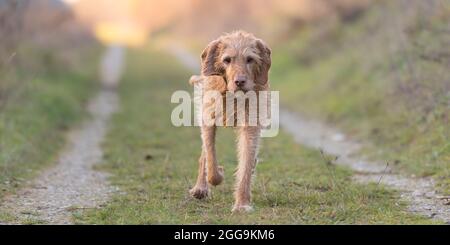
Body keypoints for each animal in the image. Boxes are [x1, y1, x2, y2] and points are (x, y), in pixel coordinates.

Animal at [189, 30, 272, 212]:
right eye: (227, 60)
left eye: (250, 59)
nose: (240, 81)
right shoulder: (208, 119)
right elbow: (210, 158)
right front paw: (217, 174)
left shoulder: (250, 125)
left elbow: (246, 163)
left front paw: (242, 204)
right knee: (204, 154)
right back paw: (200, 187)